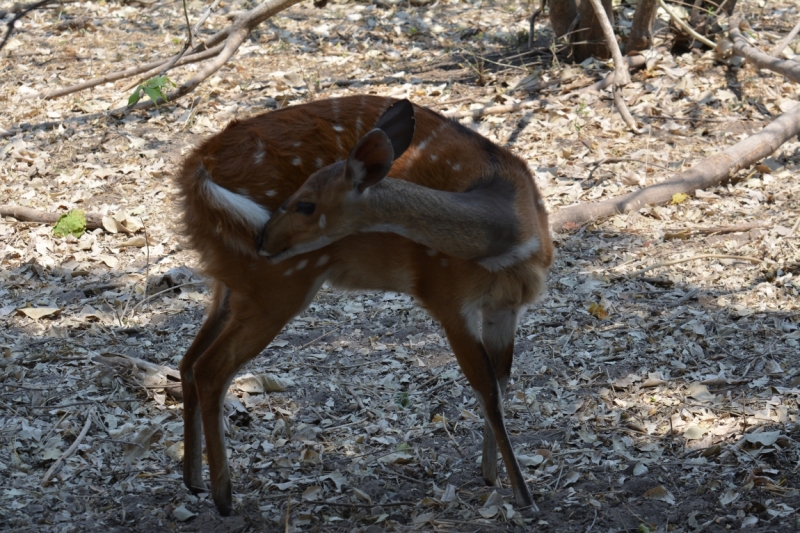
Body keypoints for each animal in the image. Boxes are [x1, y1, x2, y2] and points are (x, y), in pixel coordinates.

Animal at [175, 95, 552, 516]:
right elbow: (487, 389)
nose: (263, 237)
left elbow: (499, 384)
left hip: (230, 282)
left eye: (306, 205)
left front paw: (492, 476)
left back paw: (193, 481)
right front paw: (524, 496)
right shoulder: (448, 300)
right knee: (210, 368)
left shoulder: (506, 307)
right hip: (276, 285)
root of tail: (195, 172)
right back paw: (224, 497)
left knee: (189, 361)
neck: (511, 230)